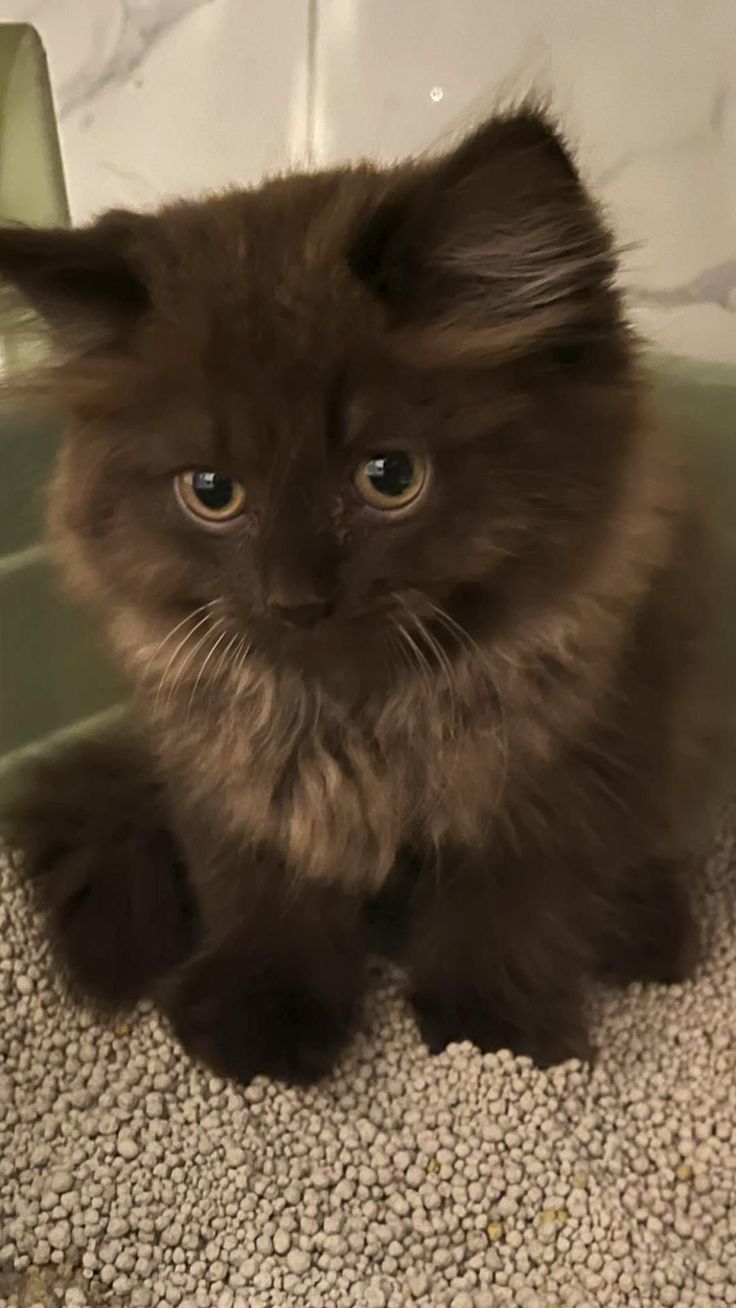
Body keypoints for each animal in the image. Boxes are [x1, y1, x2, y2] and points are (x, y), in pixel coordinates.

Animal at [0, 104, 721, 1083]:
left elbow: (509, 912)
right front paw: (259, 1023)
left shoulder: (561, 774)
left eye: (390, 477)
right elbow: (267, 896)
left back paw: (648, 934)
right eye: (211, 491)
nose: (296, 599)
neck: (357, 714)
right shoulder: (233, 778)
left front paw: (493, 1031)